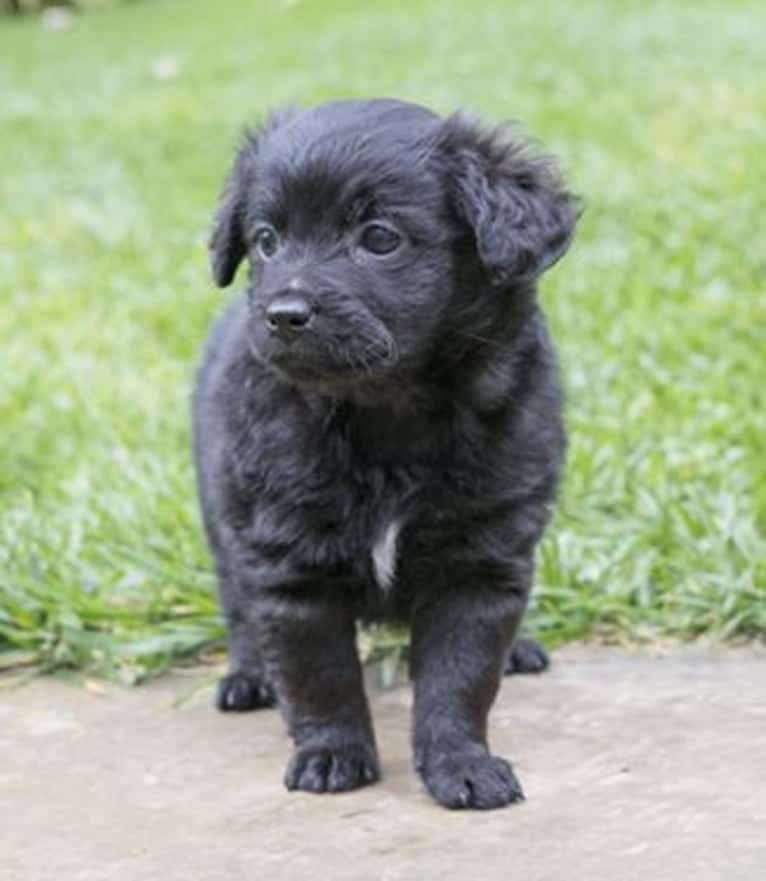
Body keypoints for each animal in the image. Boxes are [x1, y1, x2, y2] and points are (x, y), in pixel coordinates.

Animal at [195, 99, 580, 808]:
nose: (282, 314)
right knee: (239, 606)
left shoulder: (481, 564)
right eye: (266, 240)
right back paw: (248, 676)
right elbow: (319, 674)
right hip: (222, 516)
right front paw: (331, 755)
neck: (385, 416)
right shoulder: (290, 563)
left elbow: (460, 679)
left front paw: (462, 762)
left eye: (379, 238)